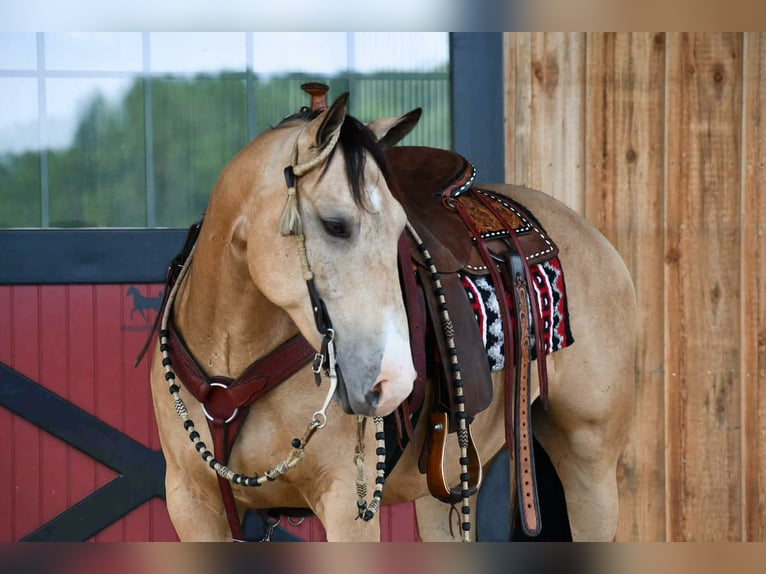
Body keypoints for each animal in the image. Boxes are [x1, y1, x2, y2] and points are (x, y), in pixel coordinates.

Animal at [148, 88, 637, 542]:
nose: (394, 381)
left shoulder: (348, 504)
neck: (232, 356)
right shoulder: (190, 503)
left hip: (589, 462)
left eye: (401, 229)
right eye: (335, 225)